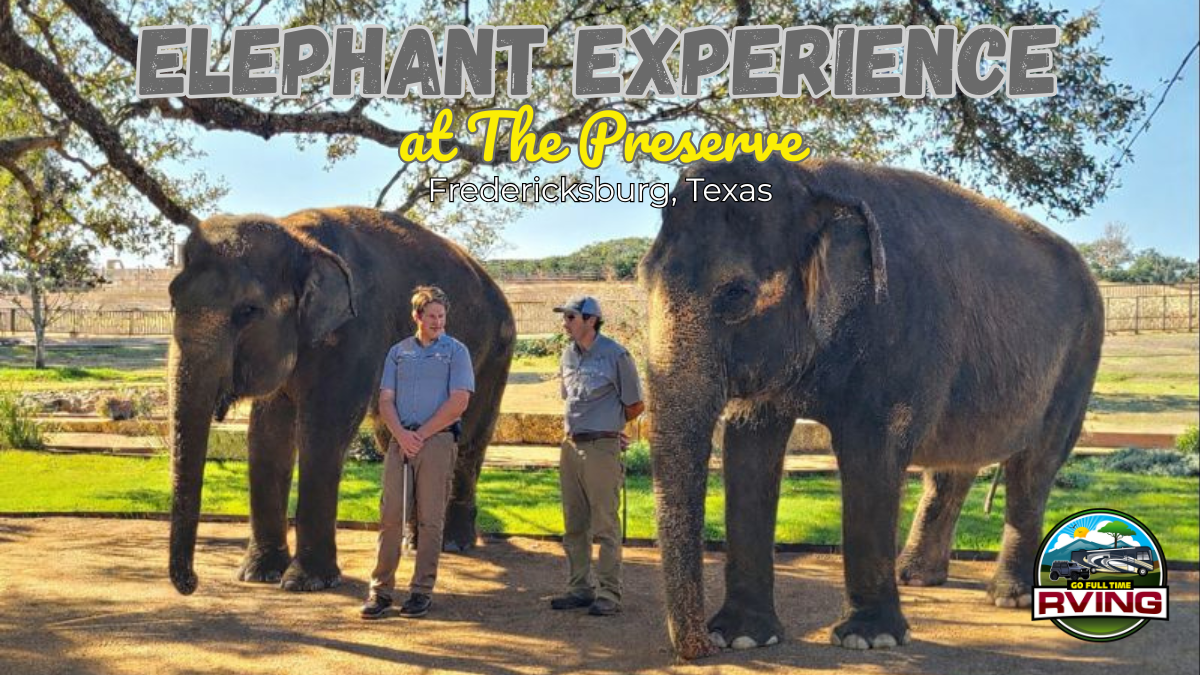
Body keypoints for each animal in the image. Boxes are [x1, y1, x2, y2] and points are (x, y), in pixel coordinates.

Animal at [167, 206, 515, 595]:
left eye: (248, 311)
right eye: (172, 299)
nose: (192, 583)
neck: (298, 236)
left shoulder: (356, 332)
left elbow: (324, 431)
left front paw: (306, 582)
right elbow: (267, 436)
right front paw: (259, 574)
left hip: (494, 352)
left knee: (469, 437)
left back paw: (454, 542)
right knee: (394, 439)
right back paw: (414, 542)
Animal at [639, 156, 1103, 658]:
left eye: (736, 294)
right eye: (641, 278)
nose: (699, 648)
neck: (813, 181)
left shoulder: (900, 329)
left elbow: (871, 455)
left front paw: (869, 638)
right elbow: (750, 448)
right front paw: (743, 637)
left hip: (1079, 360)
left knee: (1033, 468)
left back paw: (1008, 597)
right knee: (951, 467)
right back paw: (916, 576)